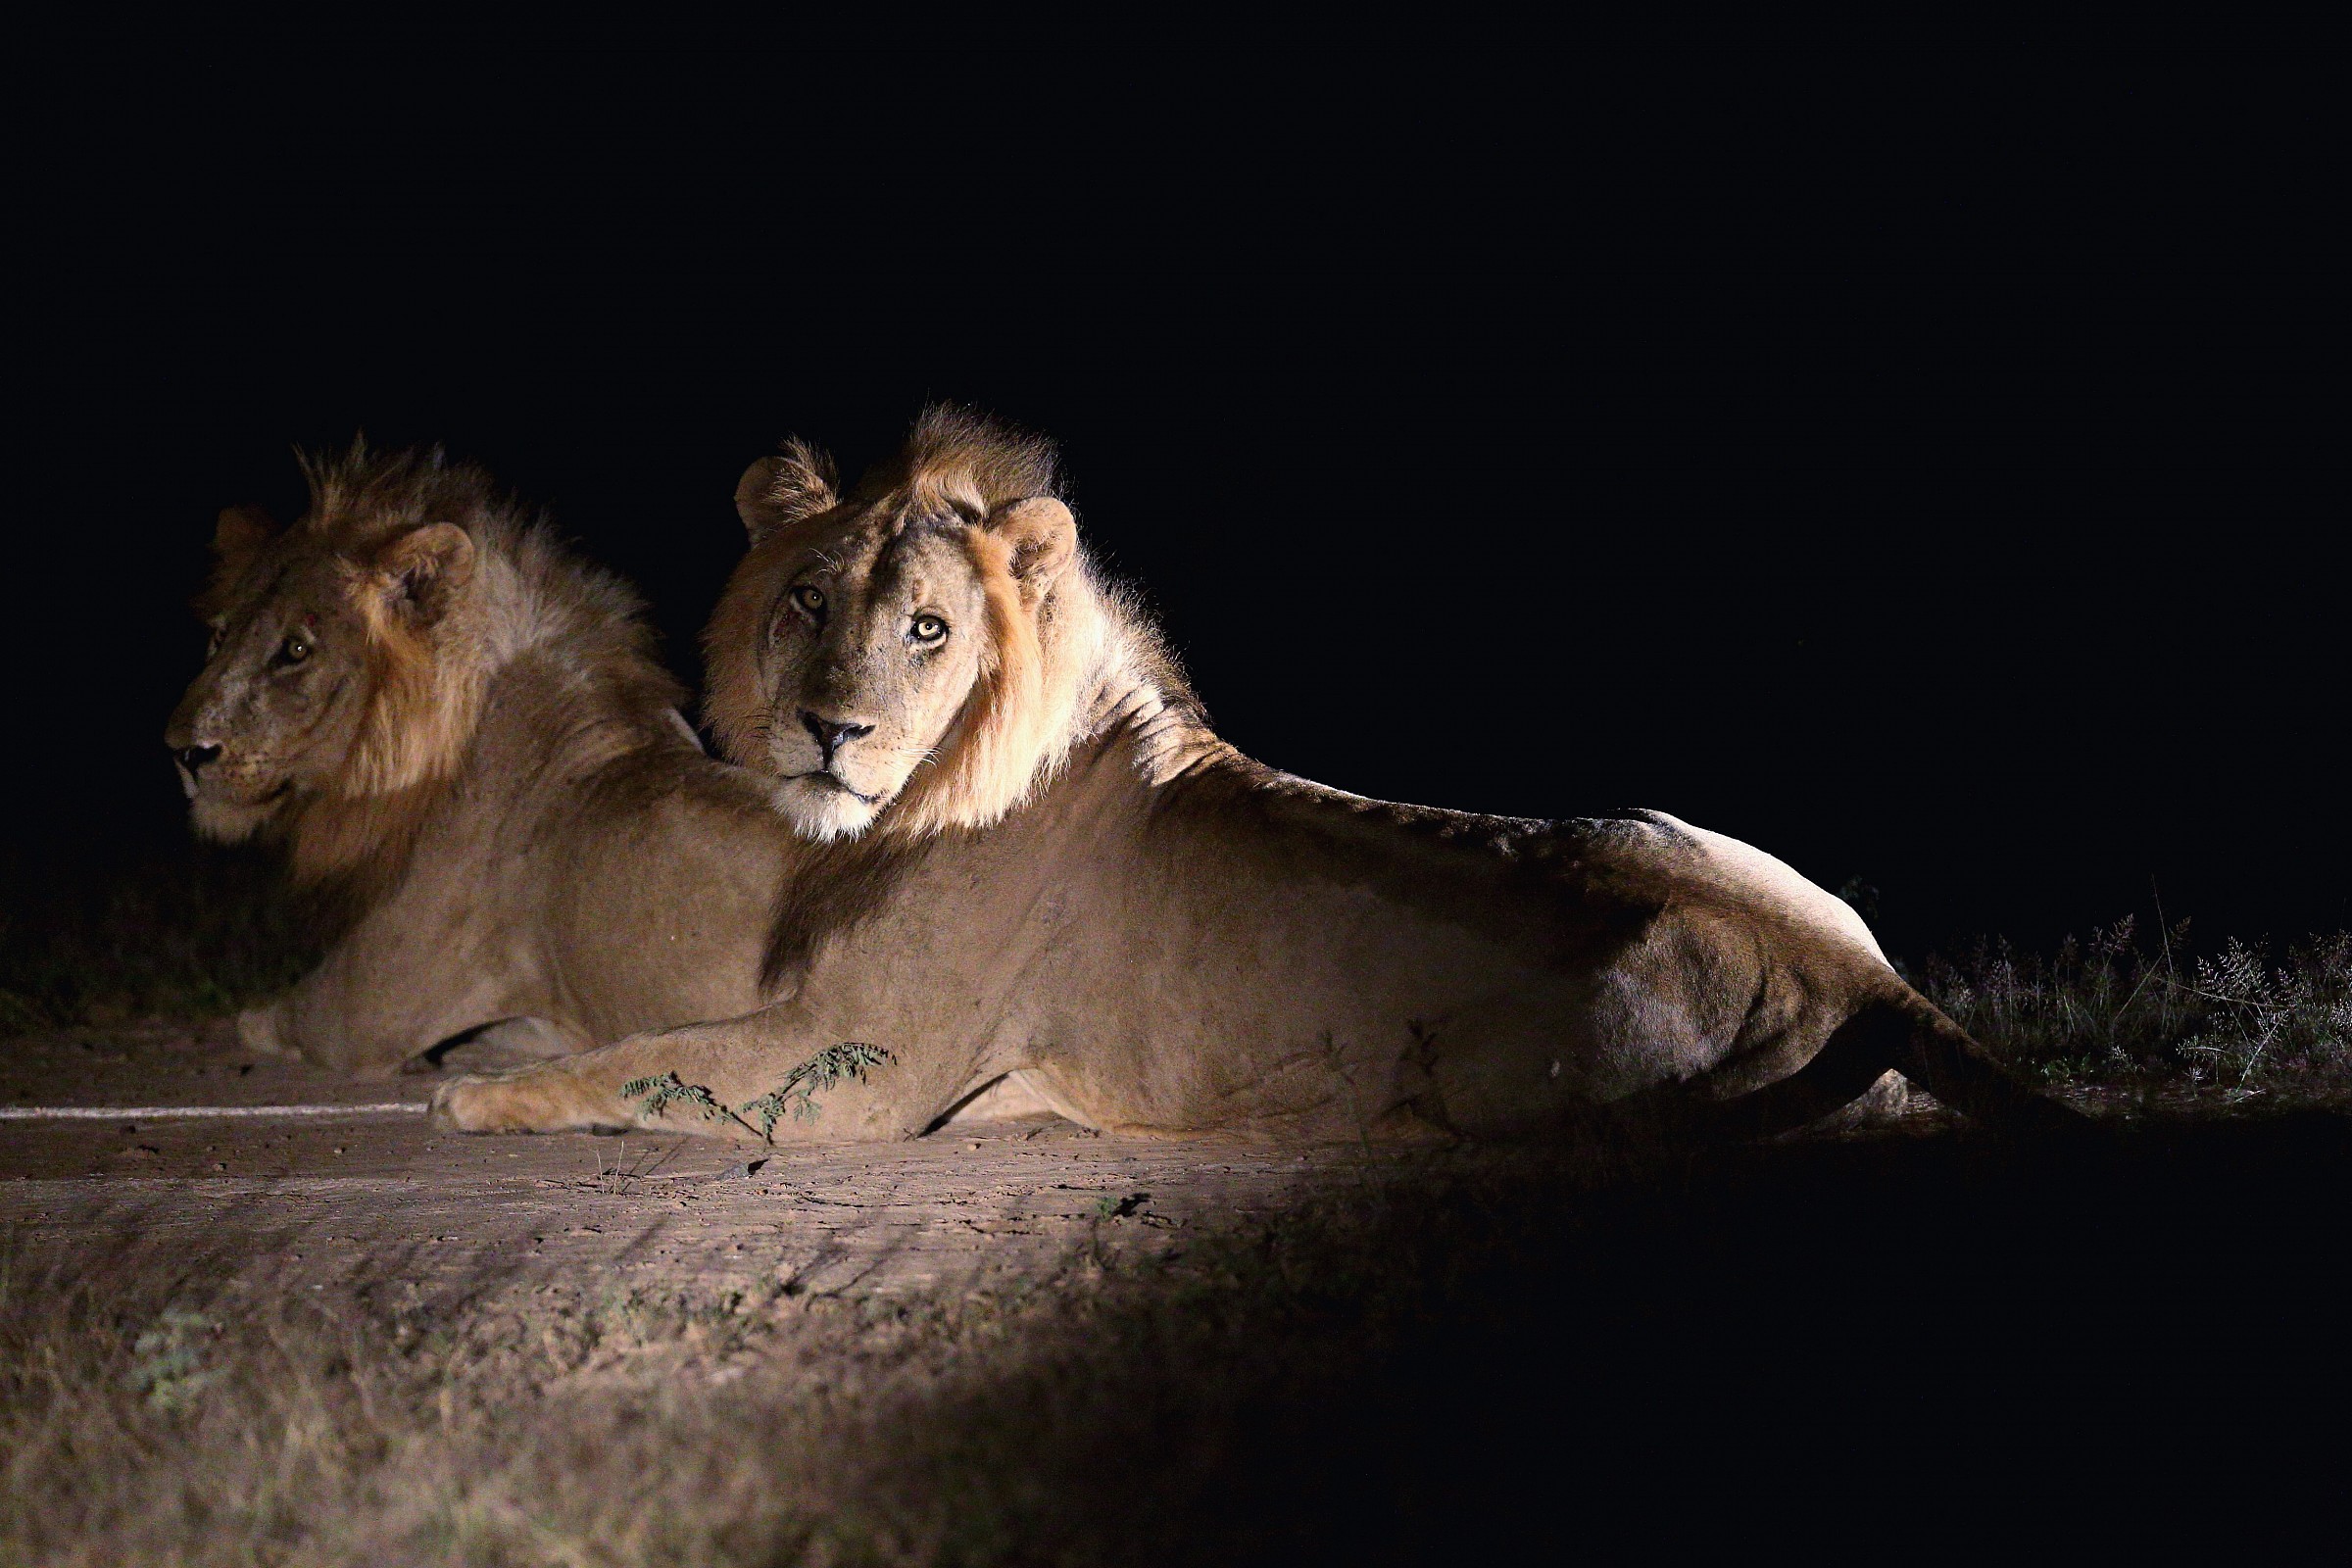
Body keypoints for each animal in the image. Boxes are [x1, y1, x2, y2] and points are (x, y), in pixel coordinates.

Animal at [433, 408, 2081, 1144]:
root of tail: (1865, 975)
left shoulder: (870, 1069)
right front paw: (484, 1049)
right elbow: (633, 1027)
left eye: (927, 628)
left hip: (1475, 1080)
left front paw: (477, 1092)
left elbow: (648, 1063)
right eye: (805, 602)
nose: (828, 731)